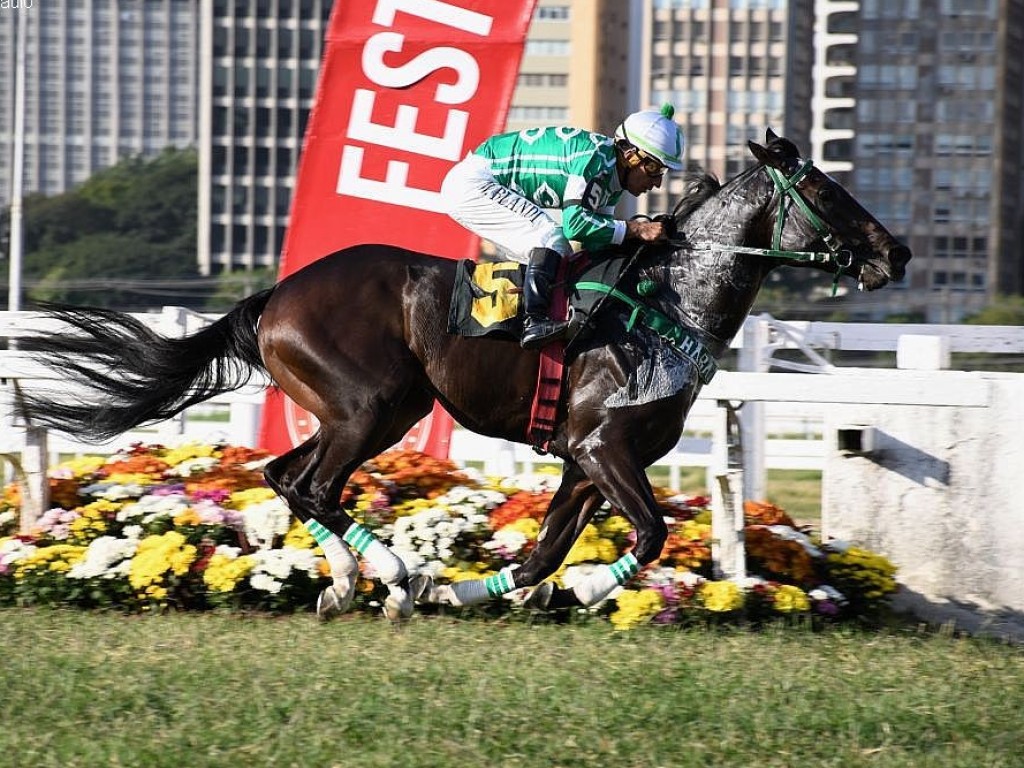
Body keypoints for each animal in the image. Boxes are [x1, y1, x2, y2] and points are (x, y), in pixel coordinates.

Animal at [18, 132, 913, 622]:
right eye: (826, 189)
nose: (897, 252)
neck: (670, 303)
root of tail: (279, 292)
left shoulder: (583, 461)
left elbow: (543, 553)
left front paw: (484, 594)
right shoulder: (605, 447)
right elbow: (650, 534)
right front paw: (592, 588)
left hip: (368, 410)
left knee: (285, 476)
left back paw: (357, 583)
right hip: (371, 406)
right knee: (311, 484)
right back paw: (389, 577)